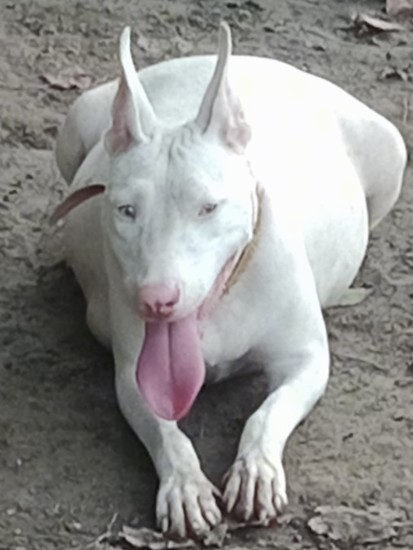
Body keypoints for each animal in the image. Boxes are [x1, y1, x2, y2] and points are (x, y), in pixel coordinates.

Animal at [52, 23, 406, 540]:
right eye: (126, 211)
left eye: (208, 207)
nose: (156, 300)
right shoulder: (133, 376)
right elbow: (166, 432)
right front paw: (185, 487)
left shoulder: (306, 360)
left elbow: (266, 414)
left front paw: (256, 472)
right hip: (77, 119)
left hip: (390, 144)